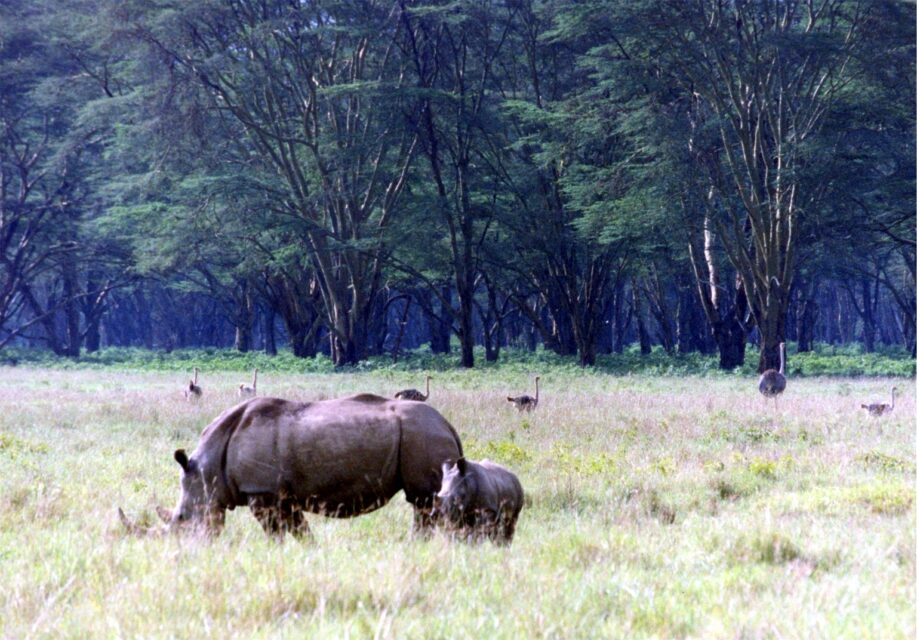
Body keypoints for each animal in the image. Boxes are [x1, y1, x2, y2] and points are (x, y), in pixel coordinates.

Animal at [119, 394, 463, 540]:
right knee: (428, 503)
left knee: (423, 501)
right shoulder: (280, 495)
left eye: (182, 519)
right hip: (423, 433)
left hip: (422, 434)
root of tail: (448, 424)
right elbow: (299, 532)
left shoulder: (262, 492)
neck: (207, 468)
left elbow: (278, 533)